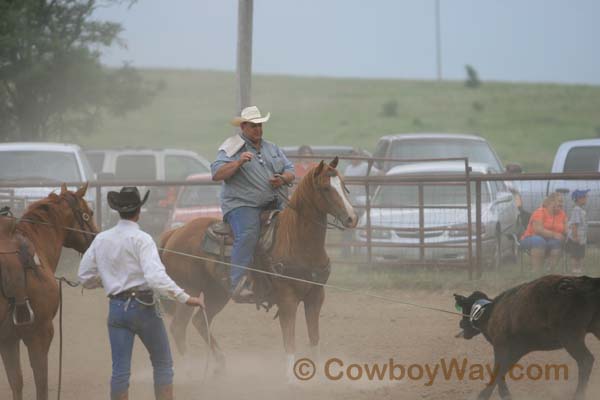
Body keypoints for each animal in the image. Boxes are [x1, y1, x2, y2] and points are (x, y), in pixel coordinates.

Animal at [0, 184, 96, 400]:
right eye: (89, 213)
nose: (97, 237)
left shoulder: (9, 339)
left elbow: (16, 382)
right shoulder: (40, 333)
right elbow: (41, 384)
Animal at [161, 158, 356, 380]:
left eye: (343, 185)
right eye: (325, 188)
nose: (352, 218)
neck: (296, 239)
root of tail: (175, 232)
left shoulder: (316, 295)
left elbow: (314, 339)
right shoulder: (287, 300)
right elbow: (289, 341)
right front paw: (292, 380)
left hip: (217, 293)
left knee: (200, 322)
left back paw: (220, 365)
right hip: (190, 290)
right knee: (179, 327)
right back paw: (188, 373)